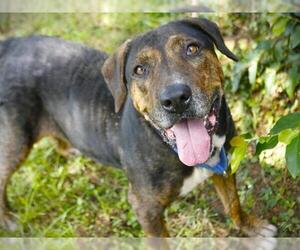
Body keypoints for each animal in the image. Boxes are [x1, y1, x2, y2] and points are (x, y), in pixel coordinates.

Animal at [0, 18, 276, 238]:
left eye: (192, 48)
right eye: (139, 70)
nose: (176, 99)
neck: (168, 146)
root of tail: (11, 44)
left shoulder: (225, 165)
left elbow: (233, 204)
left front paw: (251, 227)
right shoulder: (145, 208)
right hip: (15, 141)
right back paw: (8, 219)